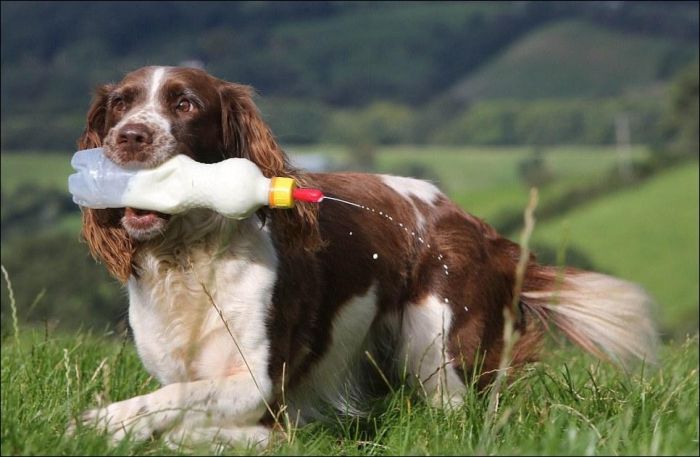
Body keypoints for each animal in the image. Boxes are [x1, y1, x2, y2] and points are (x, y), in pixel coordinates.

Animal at [74, 66, 660, 448]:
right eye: (121, 103)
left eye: (186, 104)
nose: (129, 137)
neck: (190, 259)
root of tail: (482, 230)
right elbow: (174, 401)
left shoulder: (260, 389)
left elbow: (176, 410)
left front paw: (100, 423)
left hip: (439, 350)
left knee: (458, 413)